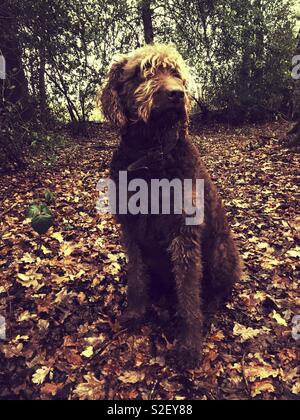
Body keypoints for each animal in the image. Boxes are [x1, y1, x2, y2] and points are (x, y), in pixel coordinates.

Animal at [101, 44, 241, 370]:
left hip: (220, 252)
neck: (151, 156)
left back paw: (210, 304)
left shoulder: (183, 234)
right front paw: (136, 312)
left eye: (176, 72)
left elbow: (188, 295)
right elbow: (137, 277)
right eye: (145, 71)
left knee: (218, 289)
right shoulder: (131, 230)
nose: (178, 94)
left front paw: (189, 346)